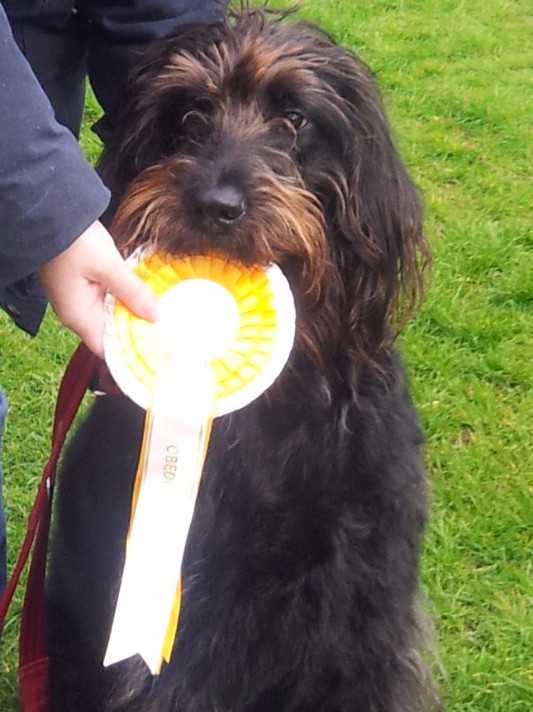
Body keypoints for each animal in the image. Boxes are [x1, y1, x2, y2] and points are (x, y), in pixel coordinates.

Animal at [45, 6, 438, 712]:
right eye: (188, 114)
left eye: (295, 118)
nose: (215, 205)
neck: (277, 403)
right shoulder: (185, 631)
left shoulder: (363, 615)